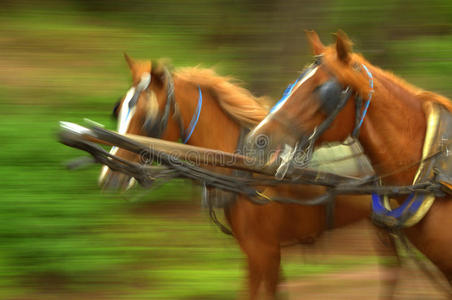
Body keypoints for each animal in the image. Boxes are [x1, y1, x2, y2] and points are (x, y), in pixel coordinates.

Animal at [100, 55, 400, 298]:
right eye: (120, 110)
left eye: (146, 118)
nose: (109, 175)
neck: (244, 165)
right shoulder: (258, 251)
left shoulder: (263, 251)